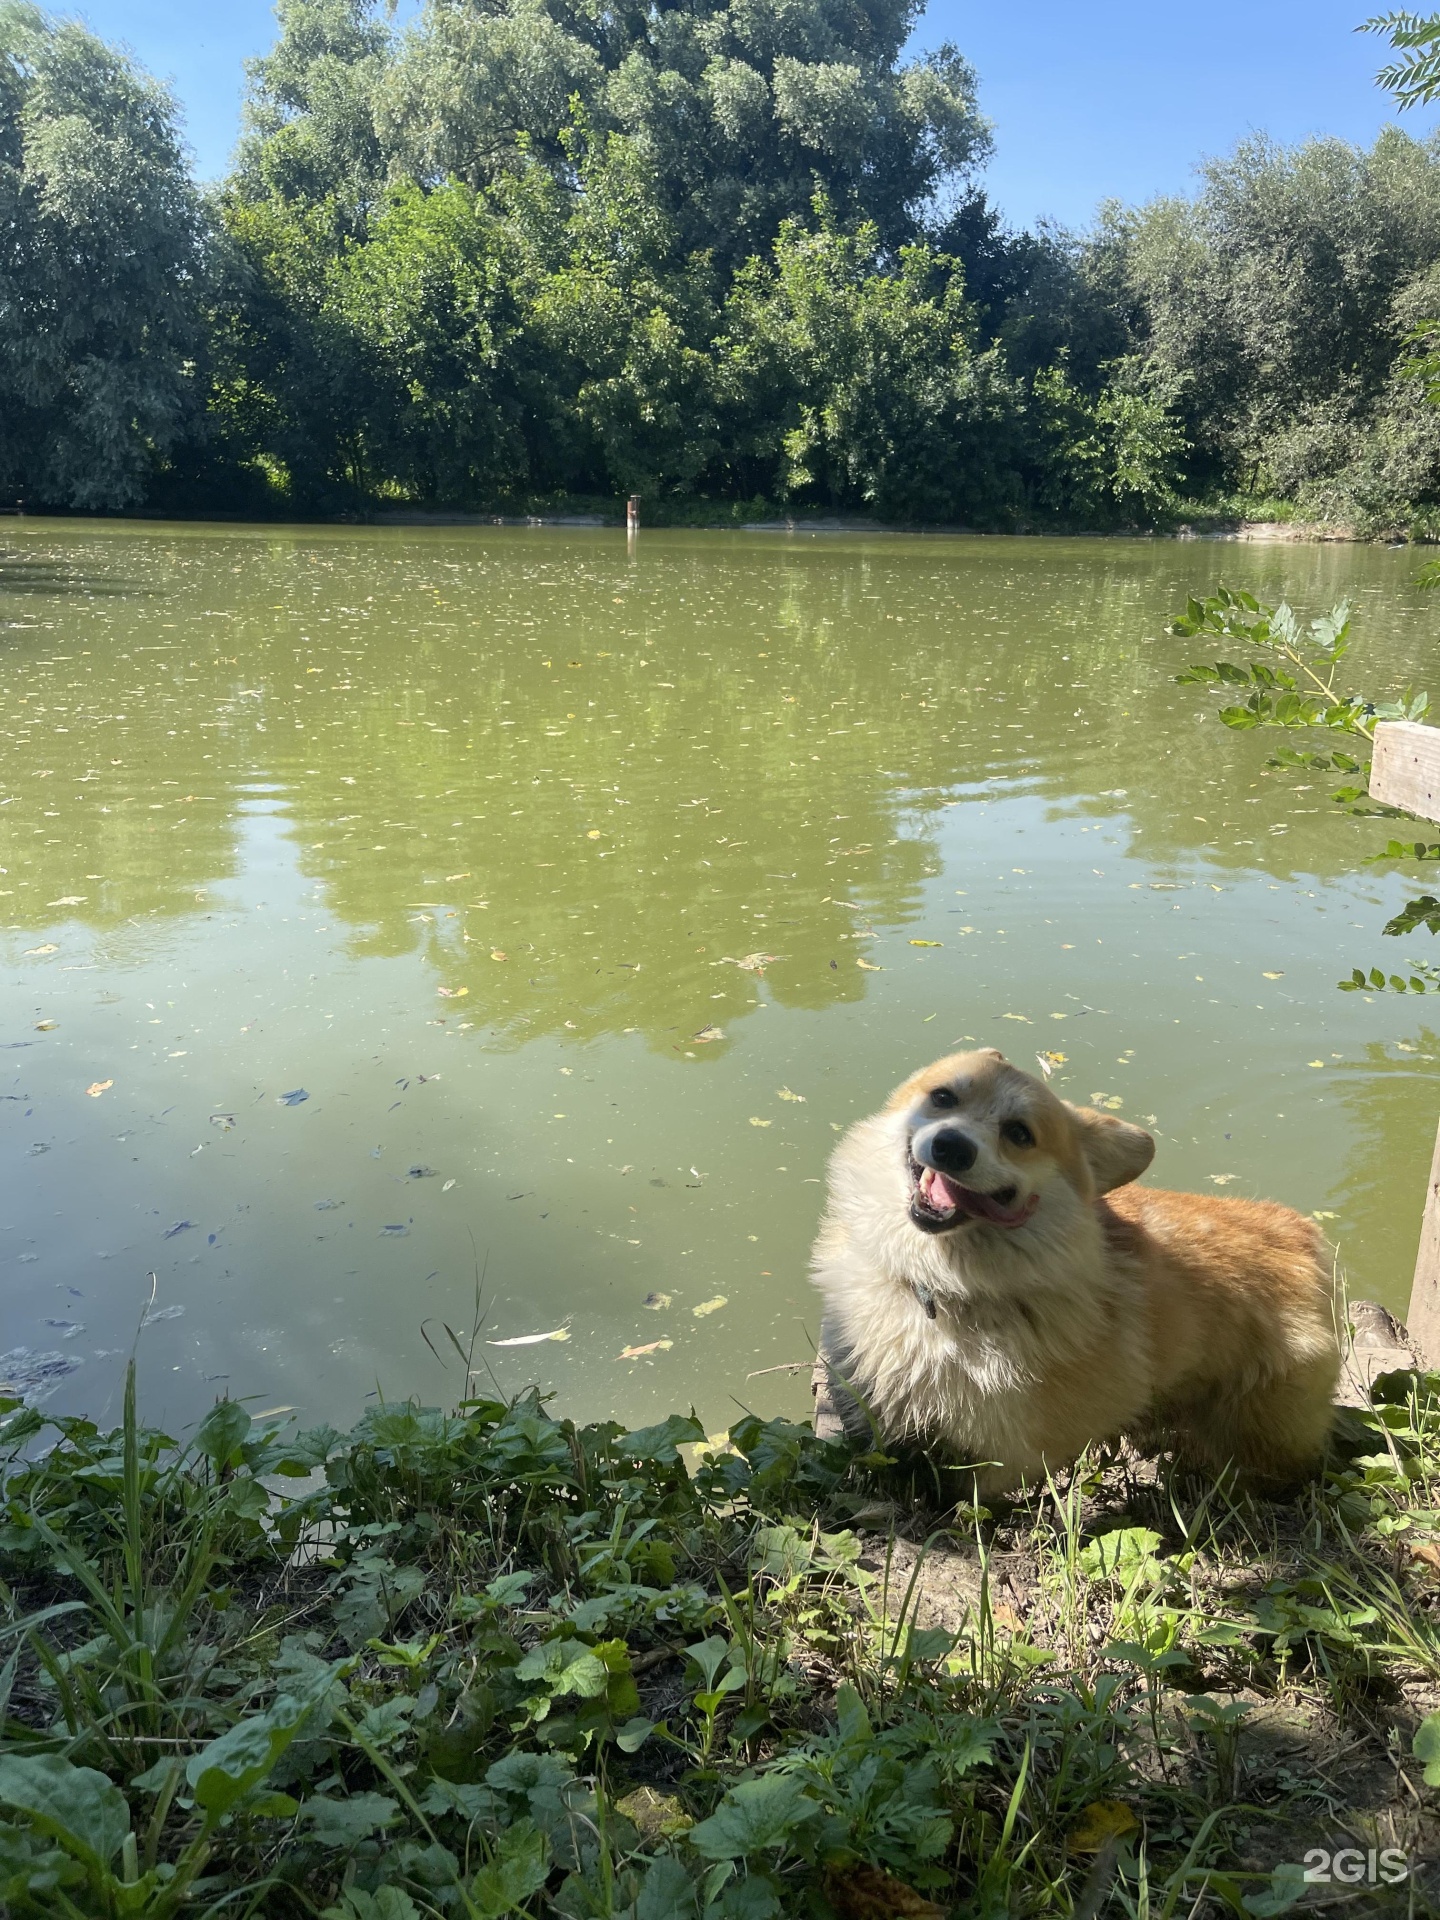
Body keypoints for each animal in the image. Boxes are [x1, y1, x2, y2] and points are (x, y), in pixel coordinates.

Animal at [814, 1059, 1344, 1489]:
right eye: (942, 1097)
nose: (950, 1147)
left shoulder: (1007, 1453)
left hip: (1260, 1432)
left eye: (1020, 1134)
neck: (940, 1282)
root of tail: (1297, 1230)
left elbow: (968, 1503)